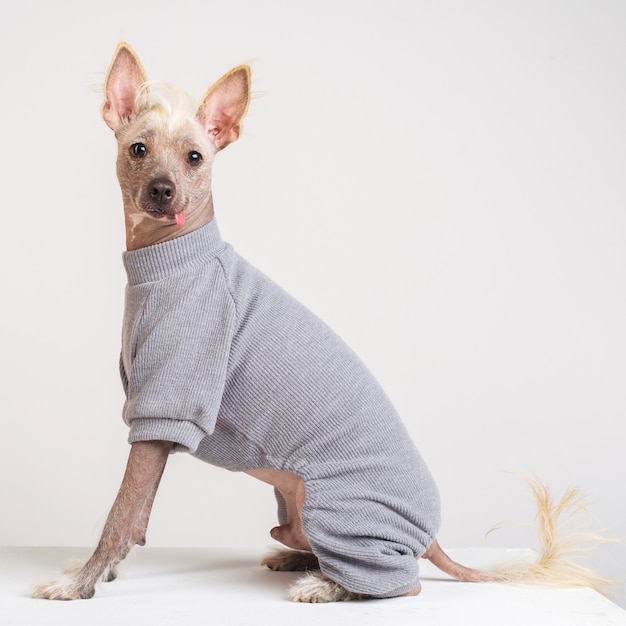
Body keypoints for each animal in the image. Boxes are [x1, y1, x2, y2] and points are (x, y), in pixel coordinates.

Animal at [33, 42, 604, 600]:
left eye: (195, 157)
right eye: (138, 150)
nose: (162, 189)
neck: (173, 257)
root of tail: (432, 537)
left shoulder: (163, 411)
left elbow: (123, 513)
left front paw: (81, 582)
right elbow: (136, 514)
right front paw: (100, 574)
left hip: (337, 513)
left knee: (403, 583)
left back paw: (328, 585)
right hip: (294, 509)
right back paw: (298, 561)